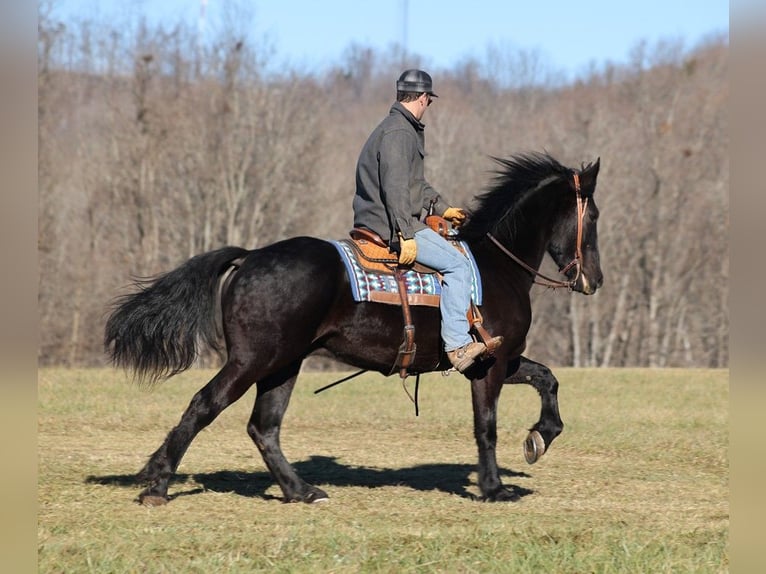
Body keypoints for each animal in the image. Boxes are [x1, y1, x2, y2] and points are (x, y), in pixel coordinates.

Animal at [103, 151, 608, 506]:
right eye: (595, 217)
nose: (595, 280)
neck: (496, 265)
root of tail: (251, 257)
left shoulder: (503, 358)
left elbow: (548, 379)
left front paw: (540, 436)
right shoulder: (490, 364)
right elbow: (486, 426)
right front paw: (494, 486)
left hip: (282, 364)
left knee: (264, 428)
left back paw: (301, 490)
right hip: (252, 360)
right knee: (204, 405)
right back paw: (157, 483)